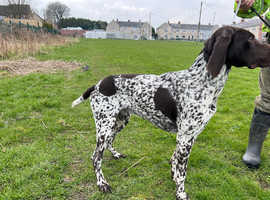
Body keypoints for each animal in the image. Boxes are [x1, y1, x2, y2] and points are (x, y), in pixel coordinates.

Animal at [71, 25, 270, 199]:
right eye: (250, 38)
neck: (202, 82)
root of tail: (98, 84)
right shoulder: (185, 138)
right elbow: (182, 172)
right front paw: (180, 193)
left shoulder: (189, 136)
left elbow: (175, 161)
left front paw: (173, 177)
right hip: (105, 125)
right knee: (96, 157)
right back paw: (102, 183)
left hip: (119, 121)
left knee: (107, 144)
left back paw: (116, 154)